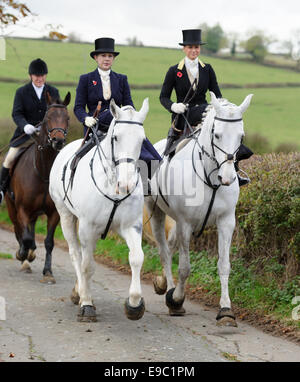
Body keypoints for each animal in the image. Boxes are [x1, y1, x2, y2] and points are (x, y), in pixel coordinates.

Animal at [5, 91, 71, 282]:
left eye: (67, 118)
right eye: (48, 118)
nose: (58, 141)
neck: (44, 172)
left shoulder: (54, 212)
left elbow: (48, 242)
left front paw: (48, 272)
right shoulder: (22, 209)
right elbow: (26, 237)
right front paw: (23, 254)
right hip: (12, 208)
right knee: (19, 230)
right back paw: (25, 259)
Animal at [49, 99, 150, 322]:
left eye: (141, 139)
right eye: (116, 137)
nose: (127, 184)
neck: (112, 184)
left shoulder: (131, 226)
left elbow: (137, 258)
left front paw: (134, 304)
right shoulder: (88, 229)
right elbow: (87, 266)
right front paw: (87, 304)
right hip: (66, 215)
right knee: (76, 255)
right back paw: (80, 292)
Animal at [145, 92, 253, 326]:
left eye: (241, 136)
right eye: (217, 135)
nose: (227, 178)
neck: (210, 176)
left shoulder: (226, 221)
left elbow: (224, 265)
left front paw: (226, 310)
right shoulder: (186, 223)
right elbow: (185, 267)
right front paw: (176, 300)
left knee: (170, 244)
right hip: (156, 212)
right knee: (164, 250)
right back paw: (167, 288)